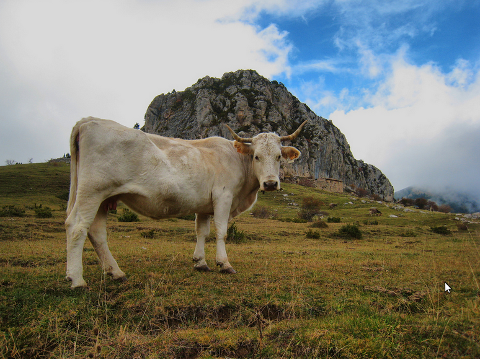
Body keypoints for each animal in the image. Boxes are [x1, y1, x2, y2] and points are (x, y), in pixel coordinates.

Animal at [64, 118, 308, 290]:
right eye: (256, 156)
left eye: (278, 157)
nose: (270, 183)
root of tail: (88, 121)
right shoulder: (223, 197)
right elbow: (221, 231)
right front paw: (224, 264)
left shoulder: (204, 205)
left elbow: (202, 231)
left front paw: (200, 262)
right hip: (91, 192)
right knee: (77, 227)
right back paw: (77, 280)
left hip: (102, 198)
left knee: (97, 233)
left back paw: (115, 272)